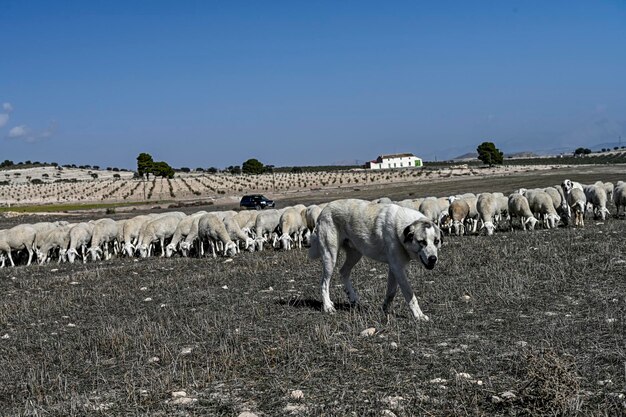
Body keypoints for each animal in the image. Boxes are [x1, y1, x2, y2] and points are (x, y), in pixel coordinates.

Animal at [308, 197, 438, 318]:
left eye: (437, 241)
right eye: (422, 242)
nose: (433, 259)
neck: (400, 231)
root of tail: (324, 210)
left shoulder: (394, 268)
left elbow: (391, 292)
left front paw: (384, 309)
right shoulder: (398, 268)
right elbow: (409, 294)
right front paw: (419, 315)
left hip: (355, 254)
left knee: (343, 272)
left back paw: (352, 298)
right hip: (330, 256)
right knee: (324, 283)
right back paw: (328, 306)